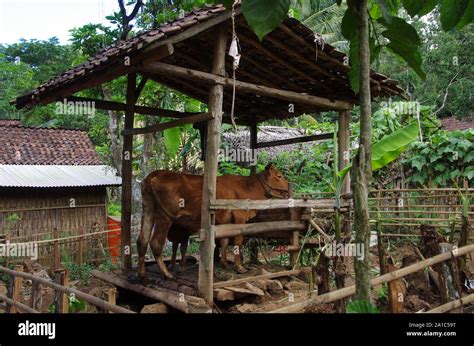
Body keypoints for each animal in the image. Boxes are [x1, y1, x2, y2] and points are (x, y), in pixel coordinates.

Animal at [137, 164, 288, 280]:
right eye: (279, 176)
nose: (289, 187)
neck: (248, 188)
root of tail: (154, 175)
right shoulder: (239, 216)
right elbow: (238, 241)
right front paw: (240, 267)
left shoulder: (225, 221)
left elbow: (224, 241)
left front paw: (225, 264)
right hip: (164, 216)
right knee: (155, 243)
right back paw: (167, 274)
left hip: (148, 210)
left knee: (142, 240)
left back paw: (142, 274)